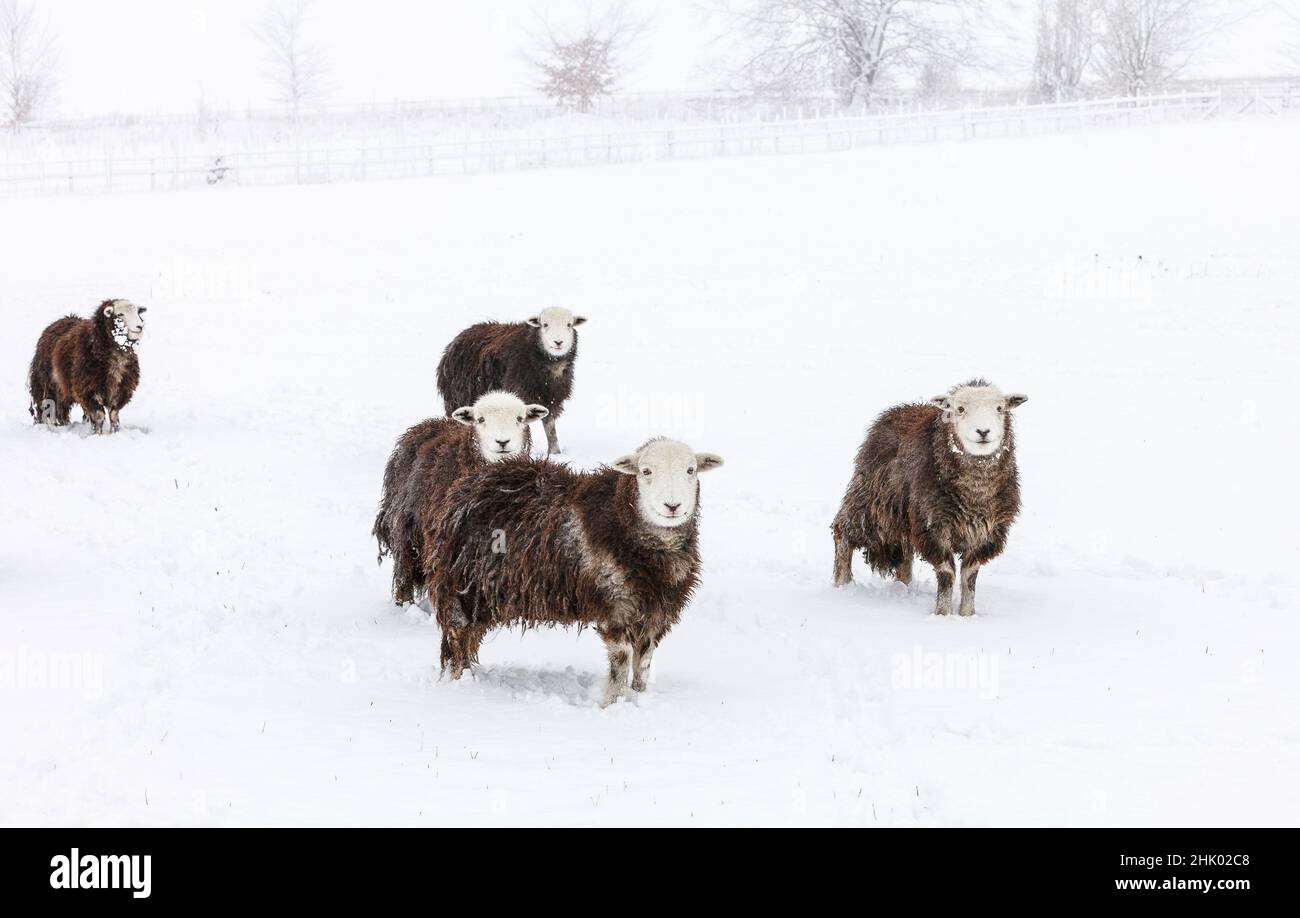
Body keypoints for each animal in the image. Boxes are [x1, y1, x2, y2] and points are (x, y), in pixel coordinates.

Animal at [28, 296, 147, 431]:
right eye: (120, 314)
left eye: (137, 313)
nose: (140, 326)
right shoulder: (89, 388)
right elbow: (99, 415)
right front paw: (98, 433)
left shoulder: (121, 388)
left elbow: (113, 414)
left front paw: (114, 432)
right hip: (46, 384)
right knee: (48, 407)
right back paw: (52, 426)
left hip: (62, 388)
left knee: (62, 408)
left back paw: (65, 424)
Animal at [371, 390, 548, 603]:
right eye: (480, 419)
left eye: (520, 418)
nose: (502, 442)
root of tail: (427, 423)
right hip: (405, 527)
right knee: (404, 568)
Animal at [431, 439, 728, 702]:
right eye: (646, 471)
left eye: (691, 470)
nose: (672, 507)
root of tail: (466, 485)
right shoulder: (613, 604)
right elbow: (621, 661)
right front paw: (612, 704)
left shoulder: (656, 613)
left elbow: (643, 662)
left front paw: (638, 697)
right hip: (461, 588)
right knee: (457, 637)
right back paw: (457, 683)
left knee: (468, 640)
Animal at [434, 305, 587, 452]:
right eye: (545, 324)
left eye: (569, 324)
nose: (558, 342)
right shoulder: (520, 391)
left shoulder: (551, 397)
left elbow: (550, 427)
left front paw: (555, 452)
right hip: (457, 398)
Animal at [832, 379, 1024, 613]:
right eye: (960, 409)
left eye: (999, 408)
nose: (983, 431)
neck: (975, 494)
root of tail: (900, 409)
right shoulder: (933, 525)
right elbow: (947, 574)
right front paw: (943, 614)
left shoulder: (987, 531)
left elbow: (969, 576)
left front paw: (968, 614)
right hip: (874, 506)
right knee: (843, 532)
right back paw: (841, 585)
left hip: (903, 516)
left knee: (904, 553)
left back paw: (903, 586)